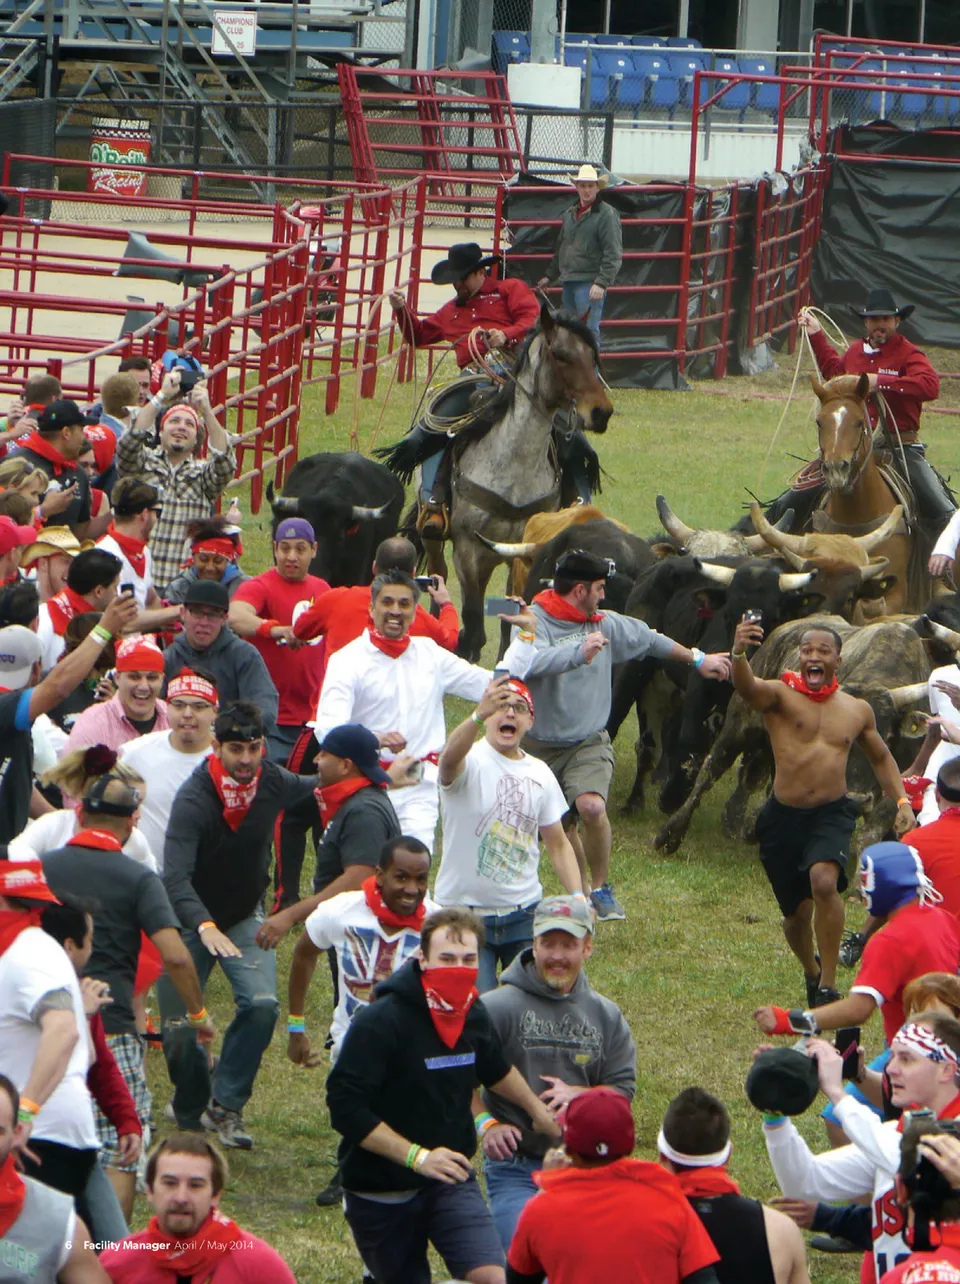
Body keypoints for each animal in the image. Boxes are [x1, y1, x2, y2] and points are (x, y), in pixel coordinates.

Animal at [428, 303, 613, 660]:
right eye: (561, 355)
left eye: (593, 356)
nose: (602, 413)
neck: (513, 466)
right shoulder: (467, 552)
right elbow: (473, 627)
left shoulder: (522, 551)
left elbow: (510, 623)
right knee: (436, 571)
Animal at [653, 616, 930, 856]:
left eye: (886, 735)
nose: (856, 798)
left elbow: (869, 836)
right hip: (737, 727)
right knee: (709, 772)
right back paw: (671, 835)